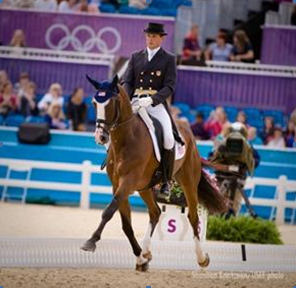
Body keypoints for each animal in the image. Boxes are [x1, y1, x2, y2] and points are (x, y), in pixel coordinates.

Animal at [81, 75, 227, 272]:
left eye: (111, 103)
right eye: (94, 103)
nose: (100, 137)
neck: (127, 138)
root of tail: (187, 130)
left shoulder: (127, 182)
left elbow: (108, 212)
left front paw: (91, 241)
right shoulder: (118, 185)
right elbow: (126, 224)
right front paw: (141, 259)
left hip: (188, 181)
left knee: (193, 217)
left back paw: (202, 258)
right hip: (145, 187)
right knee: (156, 212)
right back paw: (146, 252)